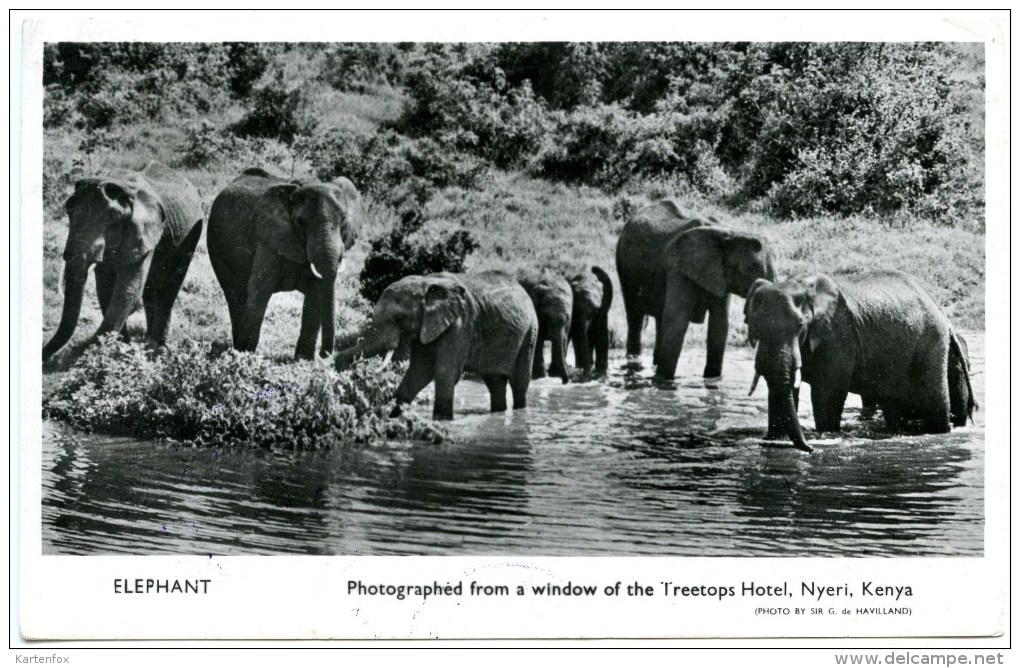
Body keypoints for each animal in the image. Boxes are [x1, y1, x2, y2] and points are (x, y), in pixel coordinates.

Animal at [43, 161, 205, 361]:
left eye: (109, 220)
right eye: (68, 212)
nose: (46, 359)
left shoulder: (143, 233)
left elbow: (127, 292)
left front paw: (114, 353)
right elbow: (106, 289)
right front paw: (121, 349)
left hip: (190, 235)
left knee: (170, 286)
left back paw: (158, 348)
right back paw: (149, 340)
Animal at [207, 167, 363, 361]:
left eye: (343, 220)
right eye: (301, 222)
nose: (324, 355)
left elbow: (315, 295)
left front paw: (303, 361)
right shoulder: (269, 239)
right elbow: (260, 290)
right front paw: (246, 358)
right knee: (236, 294)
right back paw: (236, 349)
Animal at [334, 271, 542, 418]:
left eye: (398, 317)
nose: (337, 366)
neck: (425, 283)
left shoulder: (460, 324)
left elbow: (444, 373)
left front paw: (441, 421)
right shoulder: (425, 326)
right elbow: (418, 372)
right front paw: (390, 417)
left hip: (530, 331)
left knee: (520, 383)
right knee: (495, 382)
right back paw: (498, 413)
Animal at [612, 198, 771, 383]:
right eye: (751, 269)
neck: (729, 233)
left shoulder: (721, 274)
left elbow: (720, 323)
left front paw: (712, 380)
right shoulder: (679, 268)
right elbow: (677, 320)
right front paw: (664, 382)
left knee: (659, 318)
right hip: (624, 266)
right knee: (635, 316)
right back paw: (634, 364)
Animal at [746, 271, 975, 454]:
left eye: (801, 325)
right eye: (755, 326)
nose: (810, 450)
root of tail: (941, 311)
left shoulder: (837, 336)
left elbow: (827, 394)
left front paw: (824, 437)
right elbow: (780, 390)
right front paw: (774, 439)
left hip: (931, 343)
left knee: (933, 405)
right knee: (894, 408)